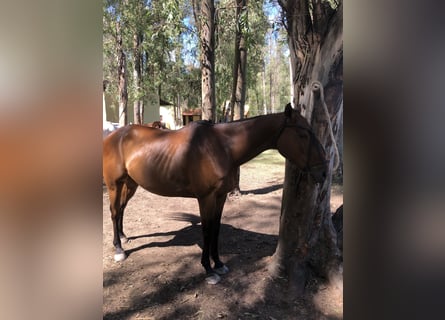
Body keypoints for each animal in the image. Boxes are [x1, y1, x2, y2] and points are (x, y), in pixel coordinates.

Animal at [103, 104, 326, 284]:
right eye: (303, 135)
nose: (323, 171)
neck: (221, 147)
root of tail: (114, 135)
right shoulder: (206, 198)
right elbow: (207, 230)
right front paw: (208, 270)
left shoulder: (220, 197)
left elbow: (216, 229)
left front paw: (218, 263)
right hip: (114, 185)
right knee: (114, 212)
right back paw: (119, 249)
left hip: (130, 184)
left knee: (121, 209)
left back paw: (123, 237)